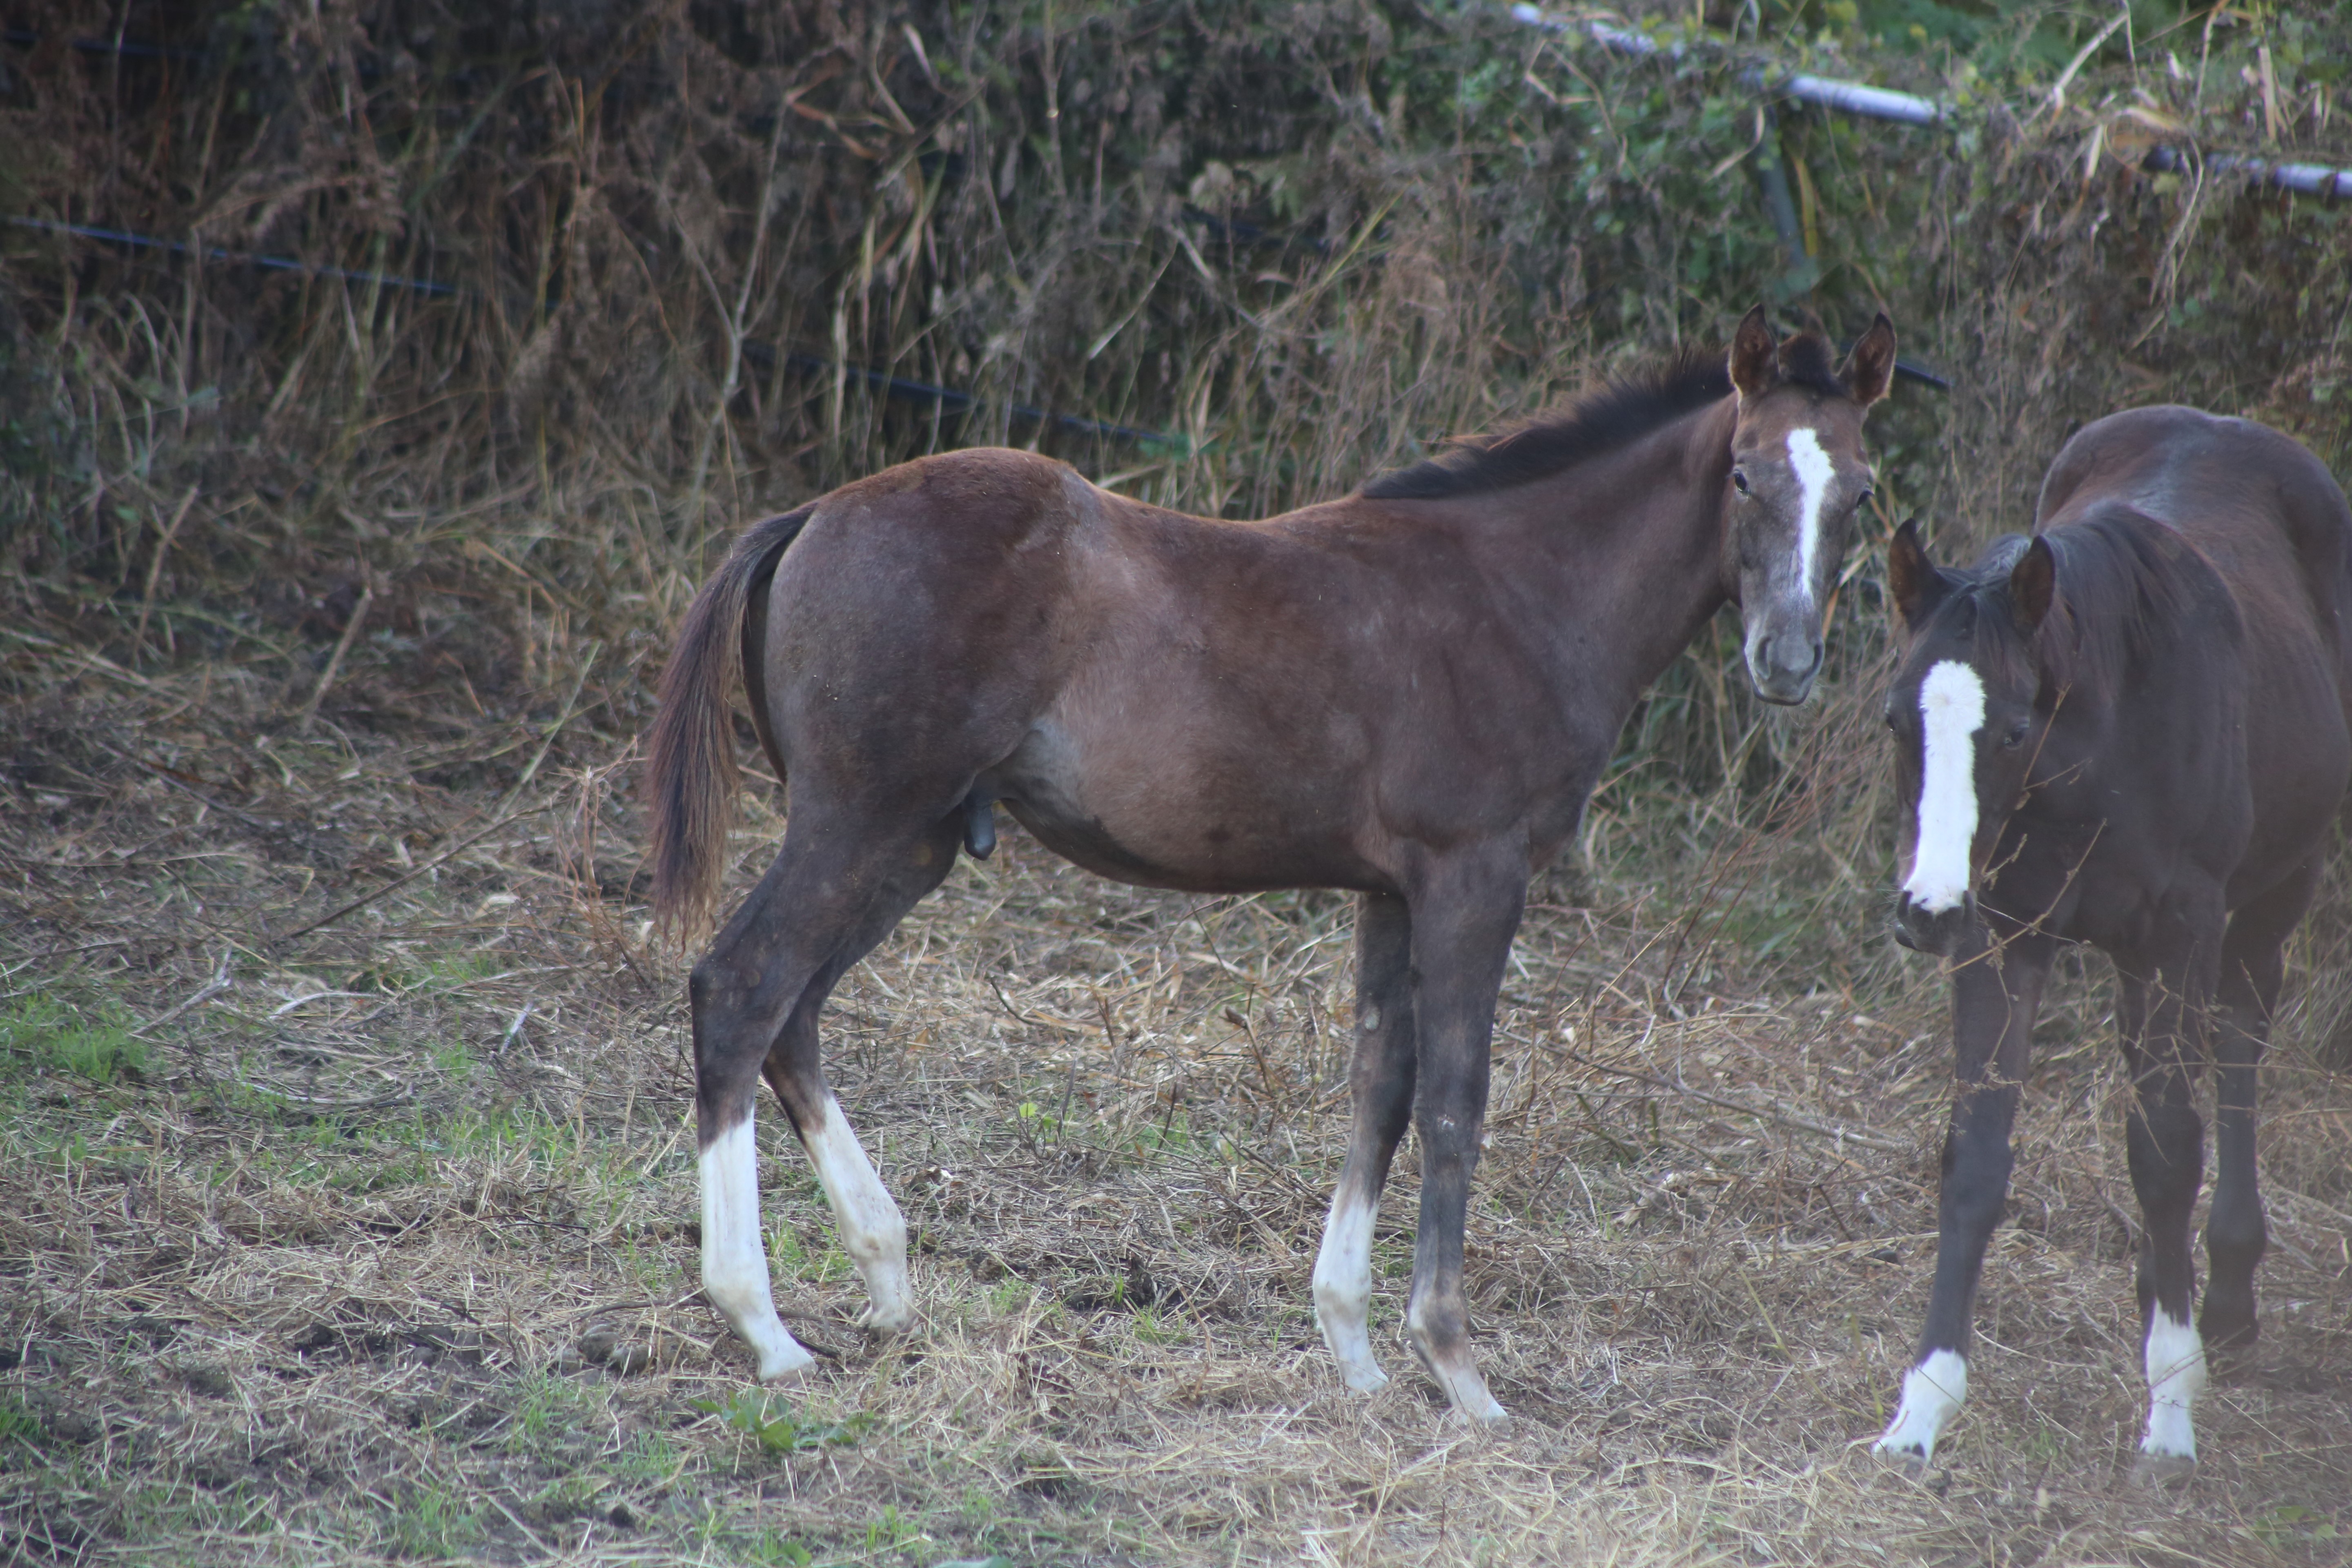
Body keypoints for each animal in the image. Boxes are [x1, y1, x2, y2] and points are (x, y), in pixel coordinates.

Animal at [654, 305, 1900, 1420]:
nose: (1787, 660)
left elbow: (1379, 1090)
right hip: (854, 821)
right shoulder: (1473, 877)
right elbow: (1454, 1101)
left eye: (1860, 492)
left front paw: (1353, 1350)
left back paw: (884, 1274)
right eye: (1741, 476)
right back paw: (763, 1326)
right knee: (743, 987)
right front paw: (1458, 1370)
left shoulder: (1392, 891)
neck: (1517, 595)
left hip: (909, 844)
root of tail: (810, 515)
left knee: (795, 1015)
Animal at [1872, 409, 2352, 1486]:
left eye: (2012, 729)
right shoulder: (2000, 936)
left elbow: (2168, 1151)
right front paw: (1921, 1408)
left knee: (2236, 1043)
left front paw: (2170, 1409)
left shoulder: (2181, 929)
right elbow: (1975, 1155)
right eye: (1894, 719)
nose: (1923, 910)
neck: (2097, 749)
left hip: (2269, 895)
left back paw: (2222, 1296)